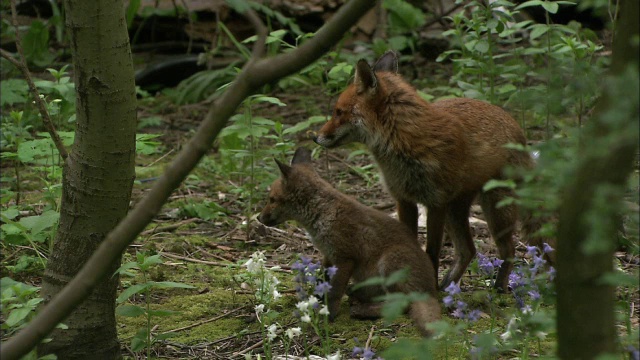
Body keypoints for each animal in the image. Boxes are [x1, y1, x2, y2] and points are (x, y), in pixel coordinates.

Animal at [258, 148, 442, 336]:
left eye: (272, 199)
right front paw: (317, 299)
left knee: (401, 304)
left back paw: (362, 310)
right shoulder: (328, 255)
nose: (258, 218)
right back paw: (357, 296)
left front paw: (329, 314)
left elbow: (334, 291)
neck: (323, 214)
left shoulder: (345, 258)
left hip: (390, 262)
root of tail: (430, 291)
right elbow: (323, 280)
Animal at [312, 51, 544, 292]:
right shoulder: (404, 200)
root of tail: (517, 128)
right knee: (468, 250)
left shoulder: (435, 203)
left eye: (338, 112)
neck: (404, 143)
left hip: (495, 209)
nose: (315, 137)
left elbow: (431, 251)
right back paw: (447, 287)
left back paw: (497, 289)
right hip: (456, 211)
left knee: (509, 250)